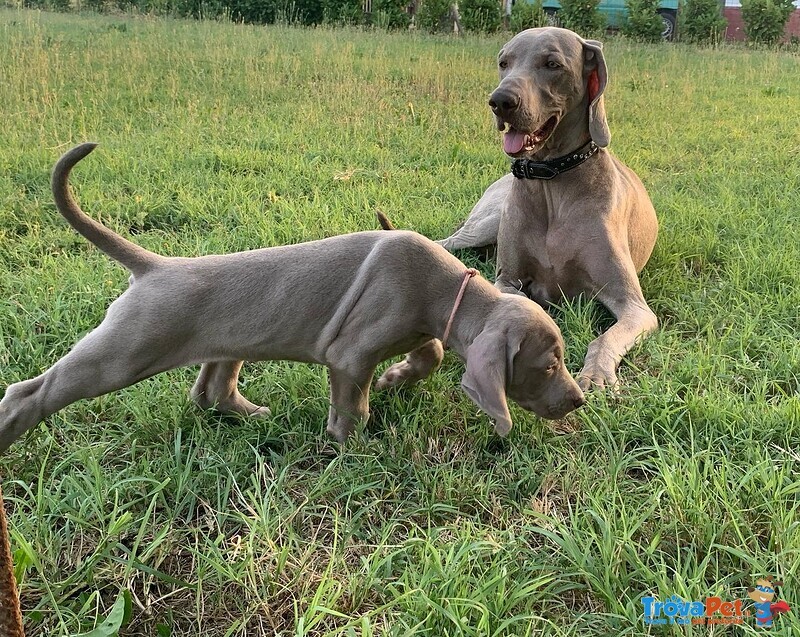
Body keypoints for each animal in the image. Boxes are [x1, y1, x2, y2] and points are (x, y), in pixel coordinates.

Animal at [0, 144, 588, 452]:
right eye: (550, 364)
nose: (580, 401)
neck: (448, 290)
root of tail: (156, 267)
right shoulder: (350, 355)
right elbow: (352, 404)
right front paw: (349, 443)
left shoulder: (425, 328)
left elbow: (434, 352)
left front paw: (398, 379)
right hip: (124, 350)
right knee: (30, 393)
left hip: (228, 341)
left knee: (210, 390)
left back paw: (252, 414)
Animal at [438, 27, 656, 390]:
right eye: (504, 62)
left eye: (552, 64)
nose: (500, 101)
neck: (551, 179)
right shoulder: (507, 279)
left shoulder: (634, 306)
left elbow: (606, 338)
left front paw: (595, 375)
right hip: (488, 221)